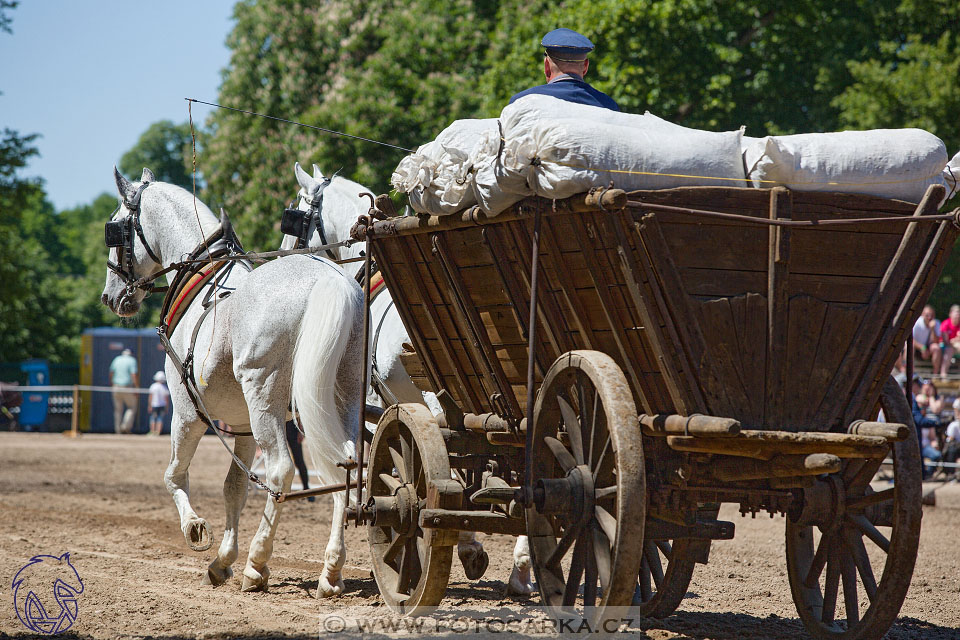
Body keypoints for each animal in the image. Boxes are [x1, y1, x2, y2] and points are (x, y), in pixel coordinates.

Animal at [101, 168, 364, 596]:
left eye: (116, 227)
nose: (111, 296)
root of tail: (329, 279)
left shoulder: (187, 412)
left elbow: (174, 475)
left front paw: (195, 529)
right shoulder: (240, 425)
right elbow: (234, 488)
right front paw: (222, 559)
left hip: (264, 399)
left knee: (281, 471)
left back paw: (257, 564)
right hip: (340, 397)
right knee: (345, 463)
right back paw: (331, 570)